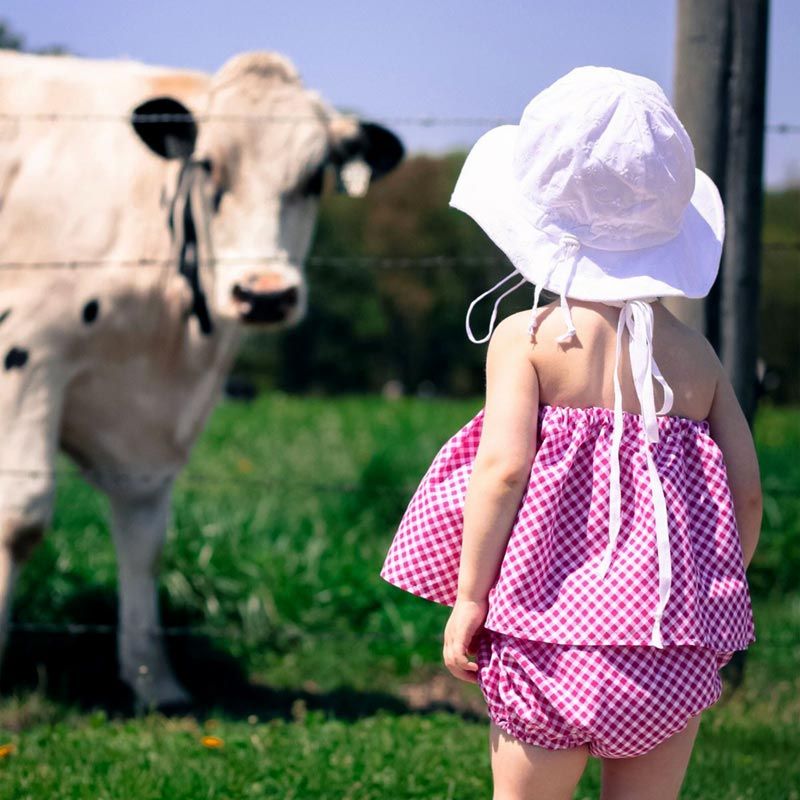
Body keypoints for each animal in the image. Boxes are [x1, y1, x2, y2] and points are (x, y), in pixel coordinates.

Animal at [0, 50, 400, 708]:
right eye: (208, 164)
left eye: (315, 178)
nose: (265, 294)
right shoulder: (29, 353)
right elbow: (20, 515)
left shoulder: (143, 428)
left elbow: (145, 537)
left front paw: (153, 680)